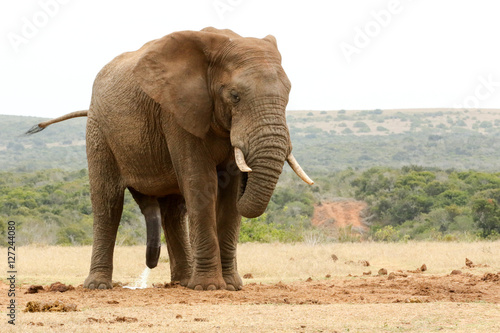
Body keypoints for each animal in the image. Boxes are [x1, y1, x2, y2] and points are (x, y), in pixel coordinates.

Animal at [28, 27, 312, 290]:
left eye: (288, 95)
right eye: (235, 96)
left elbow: (229, 195)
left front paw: (231, 286)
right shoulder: (175, 113)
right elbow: (201, 182)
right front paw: (209, 287)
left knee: (174, 210)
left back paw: (182, 282)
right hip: (99, 130)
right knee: (107, 203)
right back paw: (98, 286)